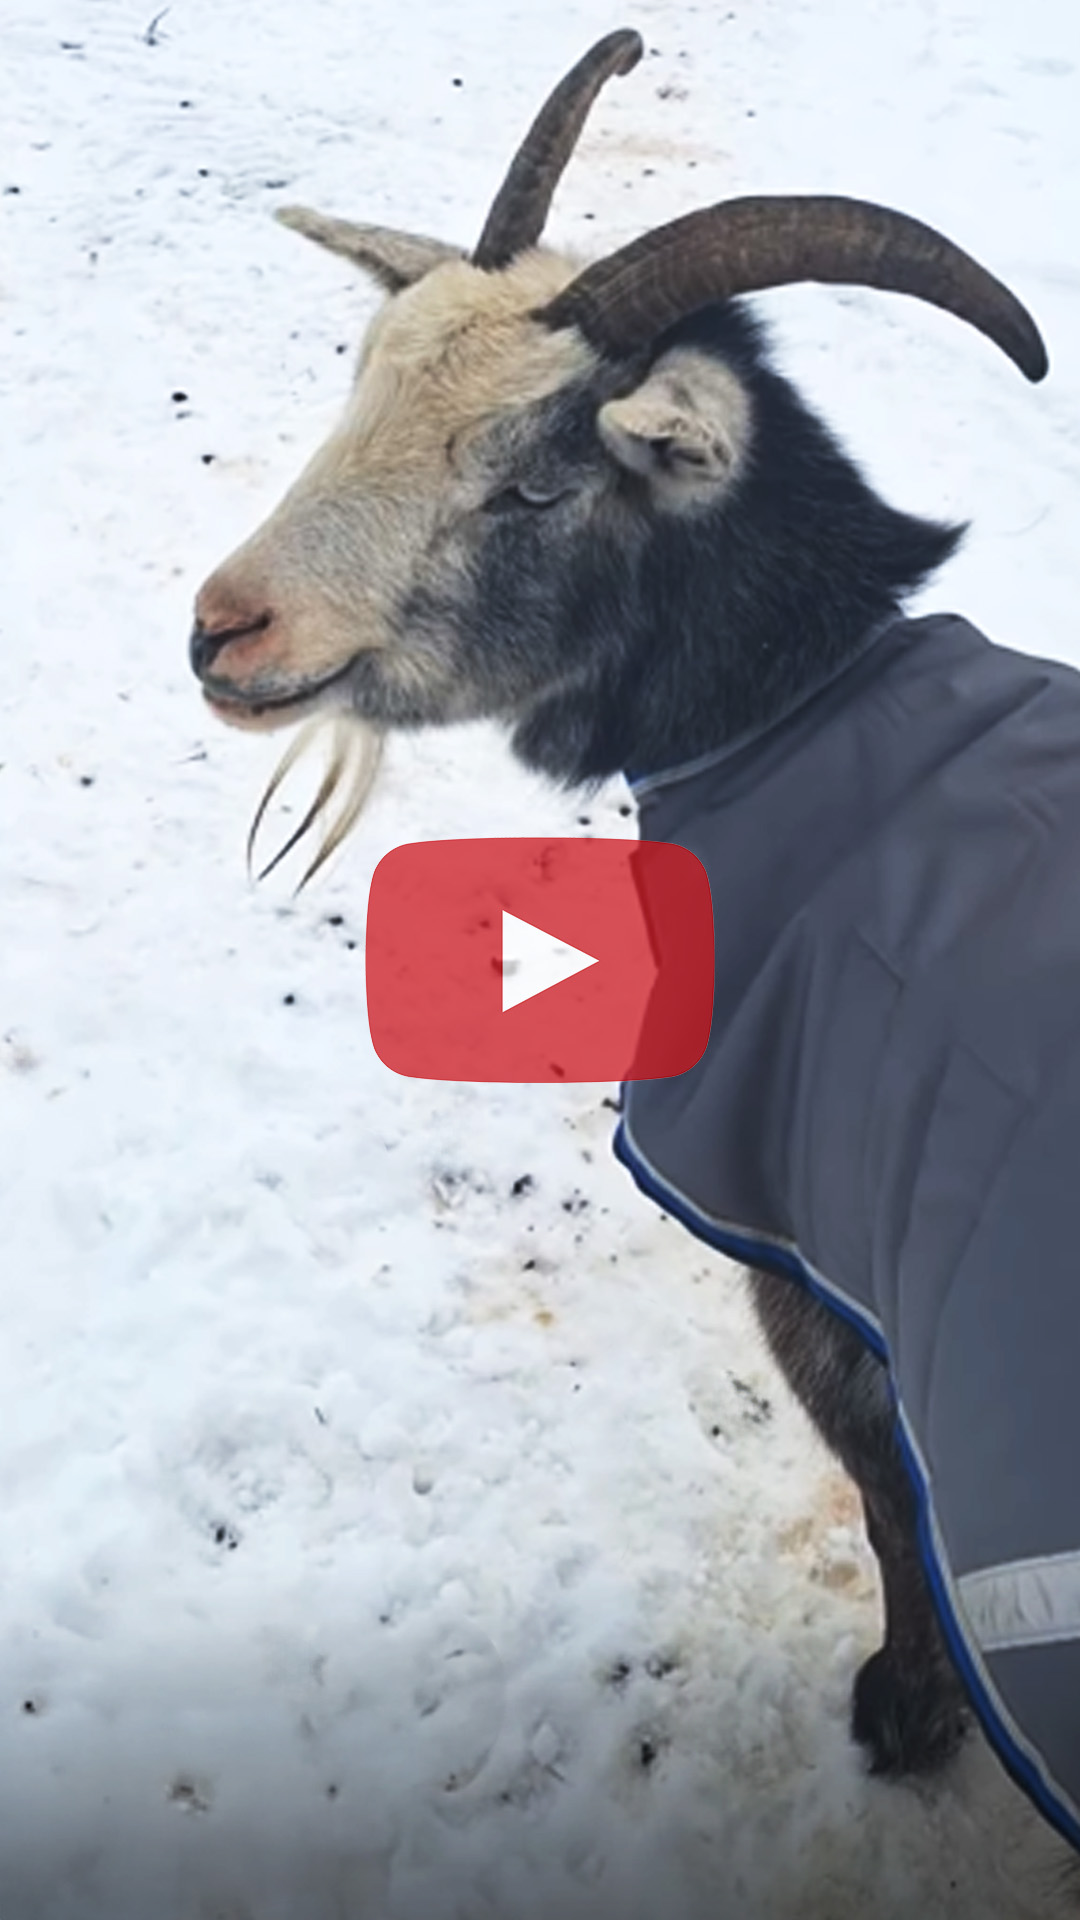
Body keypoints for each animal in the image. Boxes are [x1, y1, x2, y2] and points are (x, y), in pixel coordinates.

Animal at [190, 29, 1080, 1869]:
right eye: (356, 387)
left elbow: (886, 1489)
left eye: (532, 480)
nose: (225, 632)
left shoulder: (808, 1232)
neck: (809, 700)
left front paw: (907, 1707)